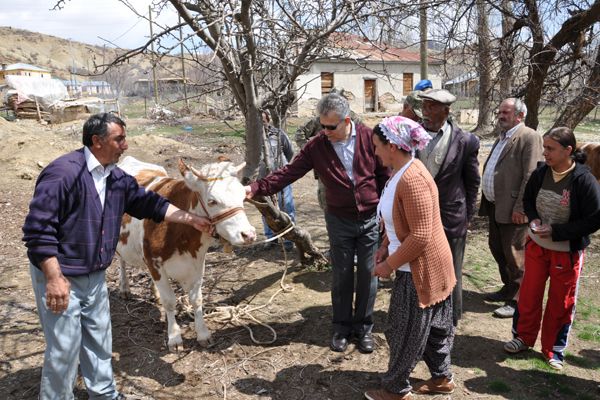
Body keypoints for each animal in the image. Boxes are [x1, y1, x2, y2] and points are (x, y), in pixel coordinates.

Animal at [116, 156, 255, 350]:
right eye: (212, 201)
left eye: (243, 196)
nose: (248, 234)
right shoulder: (154, 262)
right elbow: (169, 301)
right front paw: (174, 337)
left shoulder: (197, 261)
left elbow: (196, 299)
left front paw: (203, 334)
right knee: (121, 261)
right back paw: (125, 288)